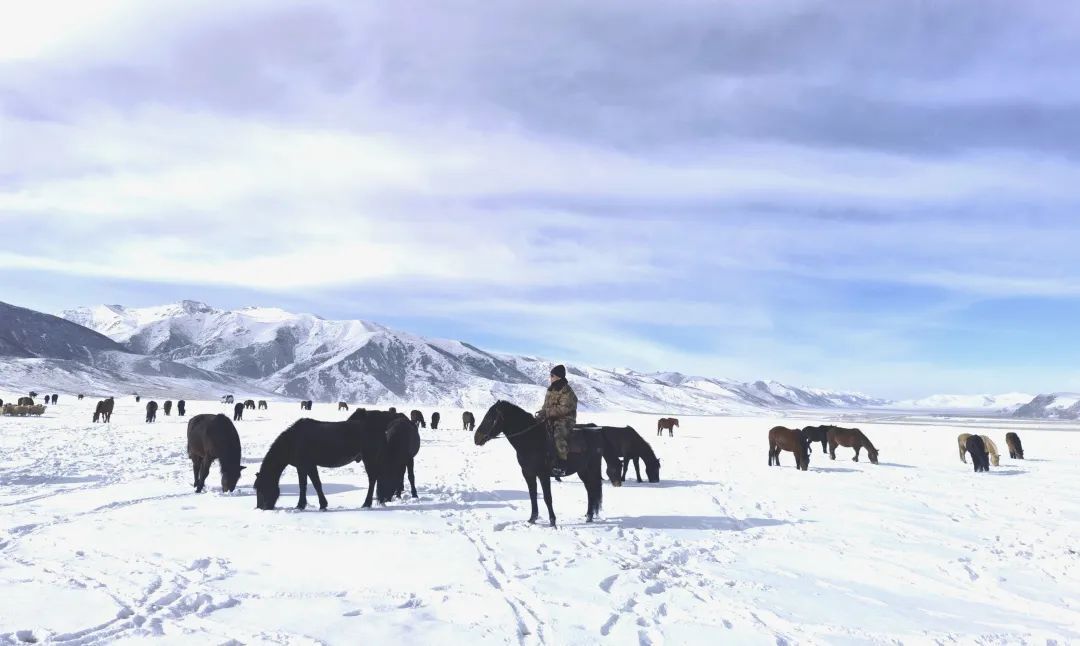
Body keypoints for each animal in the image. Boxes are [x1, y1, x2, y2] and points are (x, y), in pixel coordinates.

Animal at [252, 410, 401, 512]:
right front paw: (319, 505)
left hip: (369, 459)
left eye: (261, 488)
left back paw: (366, 503)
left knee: (372, 479)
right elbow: (312, 484)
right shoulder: (307, 466)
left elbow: (307, 485)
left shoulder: (304, 466)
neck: (292, 441)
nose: (261, 507)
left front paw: (303, 505)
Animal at [475, 401, 617, 529]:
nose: (477, 438)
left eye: (490, 418)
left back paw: (590, 516)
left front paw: (552, 522)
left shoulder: (543, 475)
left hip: (591, 468)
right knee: (590, 490)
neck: (531, 439)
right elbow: (532, 495)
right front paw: (532, 519)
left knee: (592, 489)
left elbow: (547, 498)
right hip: (582, 470)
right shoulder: (528, 474)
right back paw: (589, 516)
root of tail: (596, 430)